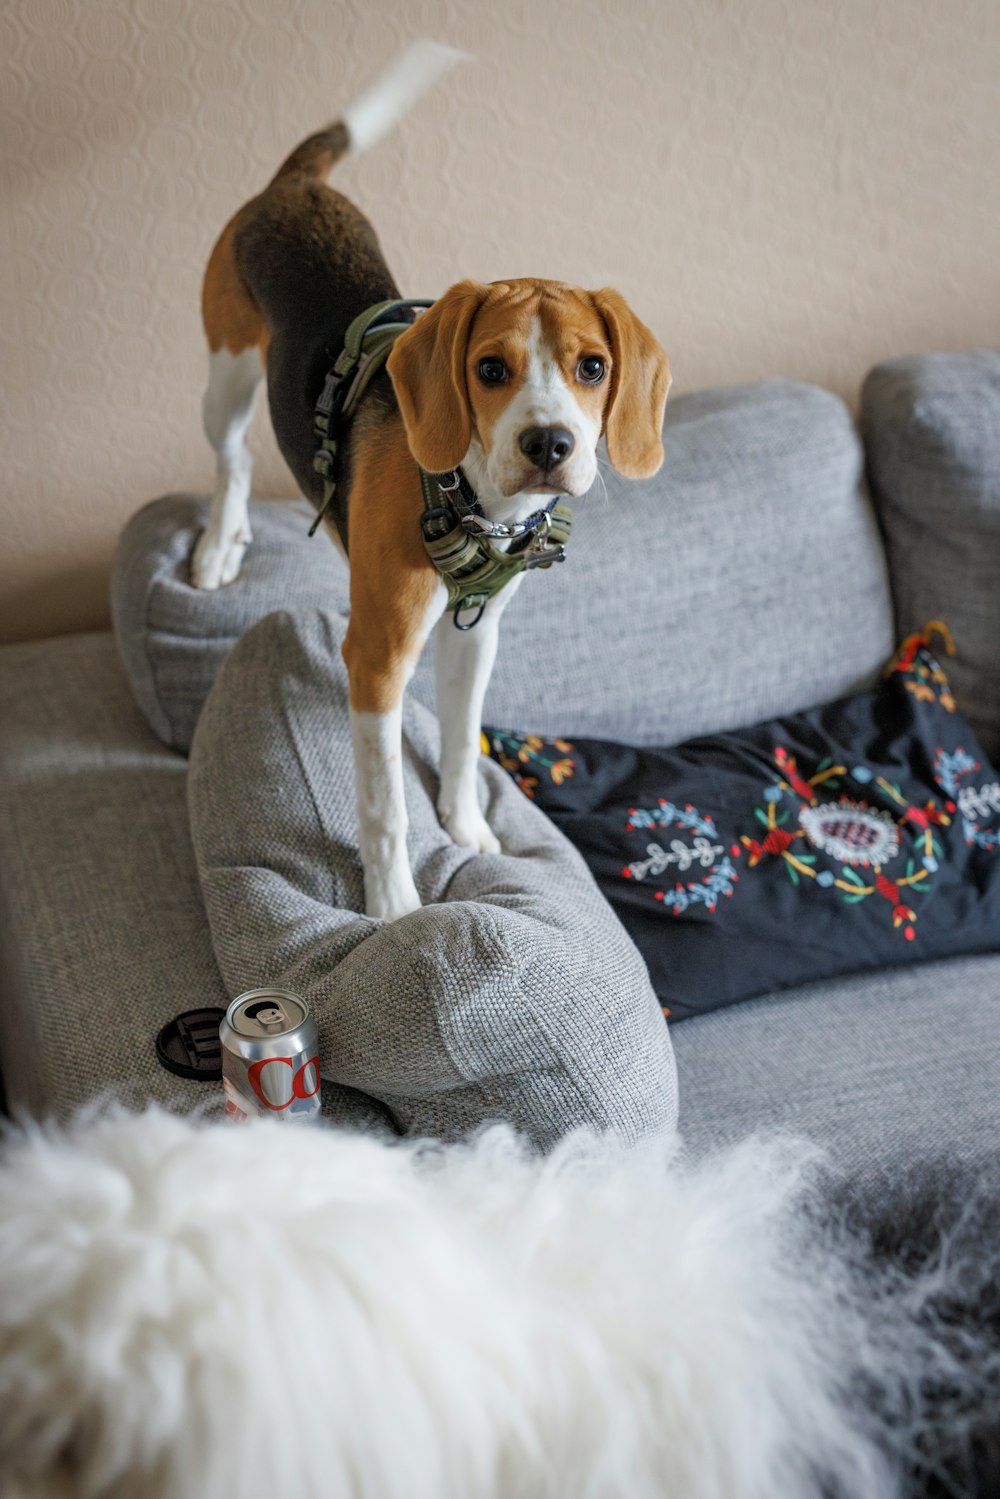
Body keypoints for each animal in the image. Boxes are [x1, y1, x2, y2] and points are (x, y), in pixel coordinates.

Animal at [193, 41, 671, 917]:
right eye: (490, 369)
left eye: (592, 367)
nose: (549, 442)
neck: (479, 504)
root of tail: (294, 184)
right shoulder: (378, 658)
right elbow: (384, 803)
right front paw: (392, 905)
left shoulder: (474, 635)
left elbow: (456, 741)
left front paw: (468, 828)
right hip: (227, 369)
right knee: (231, 458)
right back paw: (219, 541)